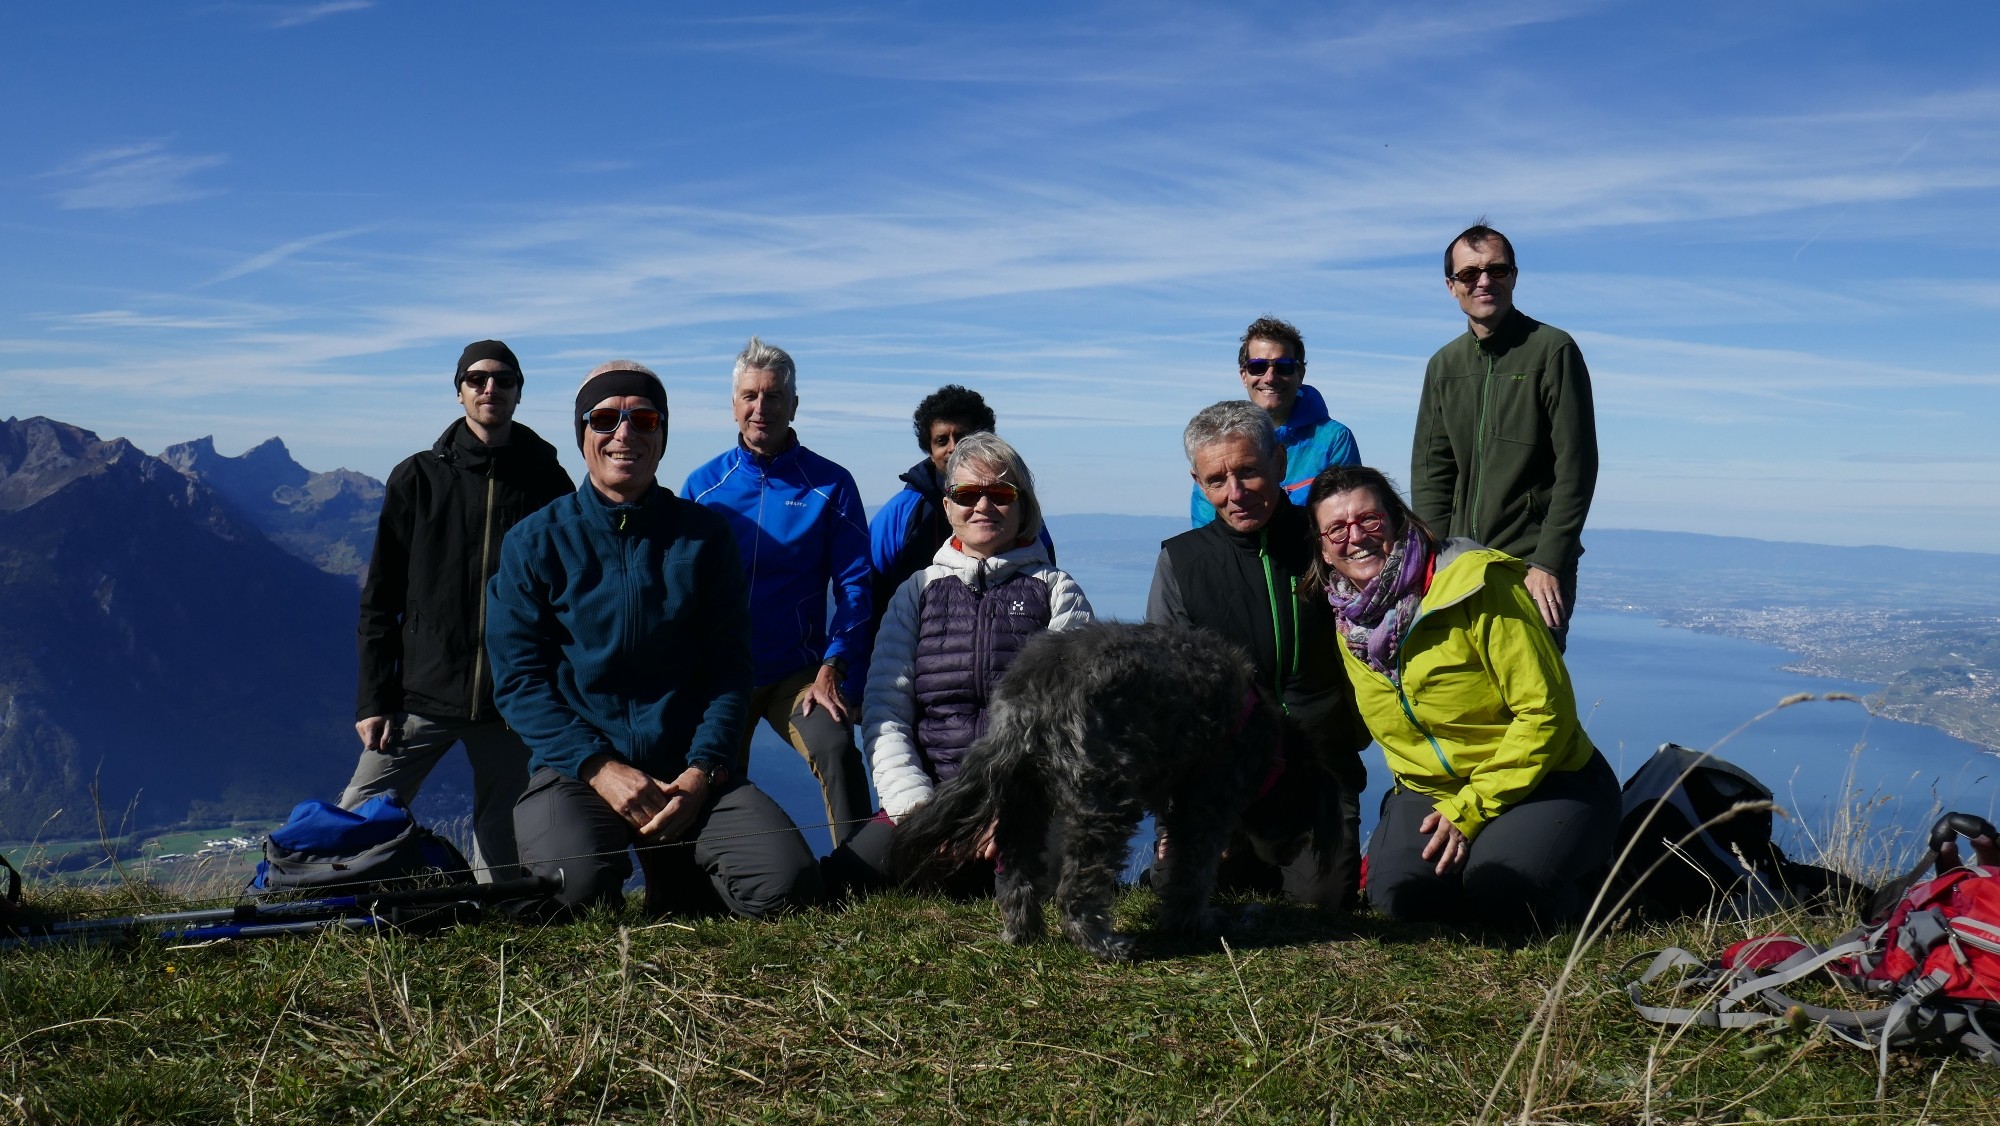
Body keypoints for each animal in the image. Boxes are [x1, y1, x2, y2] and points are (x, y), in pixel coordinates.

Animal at [888, 620, 1280, 964]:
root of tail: (1027, 695)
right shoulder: (1208, 799)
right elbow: (1194, 871)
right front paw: (1199, 921)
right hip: (1103, 800)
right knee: (1074, 889)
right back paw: (1104, 945)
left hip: (1024, 798)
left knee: (1015, 872)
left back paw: (1023, 932)